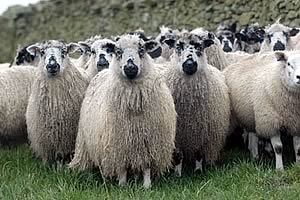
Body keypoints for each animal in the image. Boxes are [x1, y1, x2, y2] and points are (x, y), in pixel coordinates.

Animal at [69, 33, 177, 188]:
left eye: (142, 50)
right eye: (118, 52)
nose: (130, 68)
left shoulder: (149, 140)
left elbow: (147, 166)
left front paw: (147, 185)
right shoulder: (117, 142)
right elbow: (121, 166)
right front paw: (122, 185)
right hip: (85, 141)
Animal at [165, 32, 231, 176]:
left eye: (200, 46)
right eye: (178, 46)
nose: (189, 64)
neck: (191, 105)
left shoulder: (202, 131)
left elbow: (199, 153)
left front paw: (198, 171)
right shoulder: (178, 134)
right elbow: (178, 155)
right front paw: (177, 174)